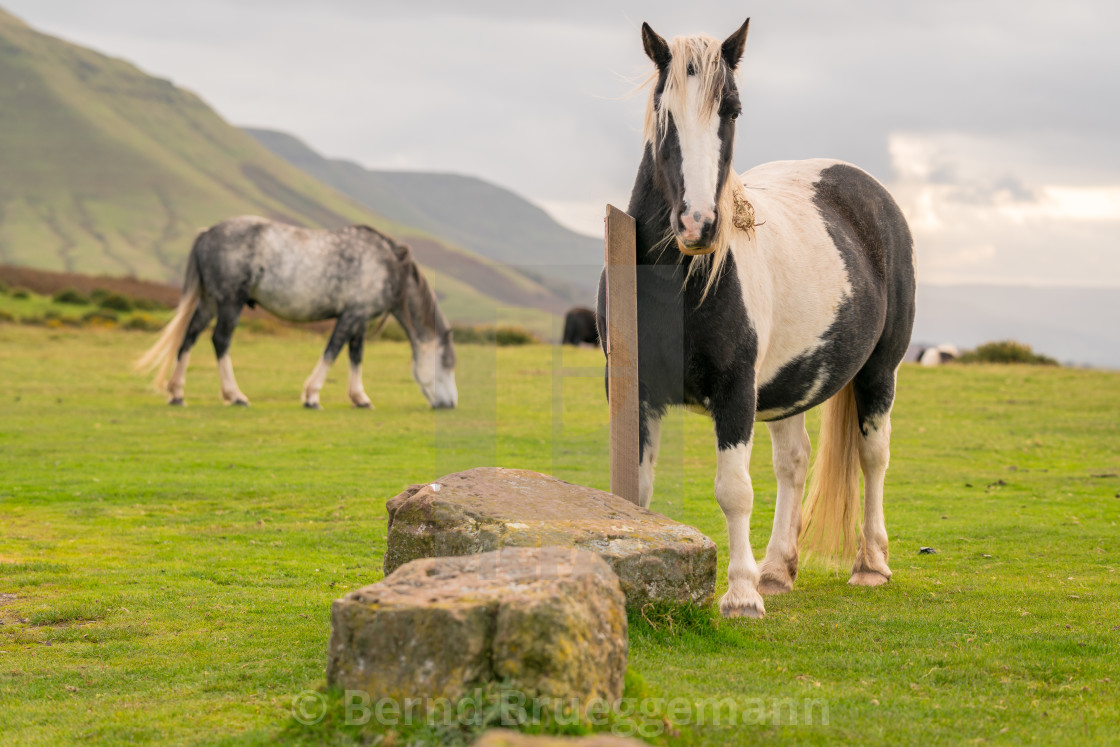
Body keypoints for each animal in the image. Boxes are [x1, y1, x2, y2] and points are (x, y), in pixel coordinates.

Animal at [136, 219, 459, 409]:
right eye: (447, 363)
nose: (451, 403)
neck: (387, 265)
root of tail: (207, 234)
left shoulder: (360, 319)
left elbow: (355, 355)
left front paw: (359, 397)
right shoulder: (351, 316)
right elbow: (333, 351)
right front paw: (312, 395)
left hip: (209, 302)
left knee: (189, 337)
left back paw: (177, 393)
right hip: (229, 303)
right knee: (220, 341)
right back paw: (235, 395)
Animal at [600, 21, 913, 618]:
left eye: (732, 109)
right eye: (664, 108)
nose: (697, 224)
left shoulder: (735, 390)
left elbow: (734, 490)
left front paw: (741, 594)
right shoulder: (637, 391)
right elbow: (640, 489)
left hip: (879, 374)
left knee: (874, 457)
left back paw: (869, 564)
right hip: (789, 383)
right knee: (794, 462)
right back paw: (777, 569)